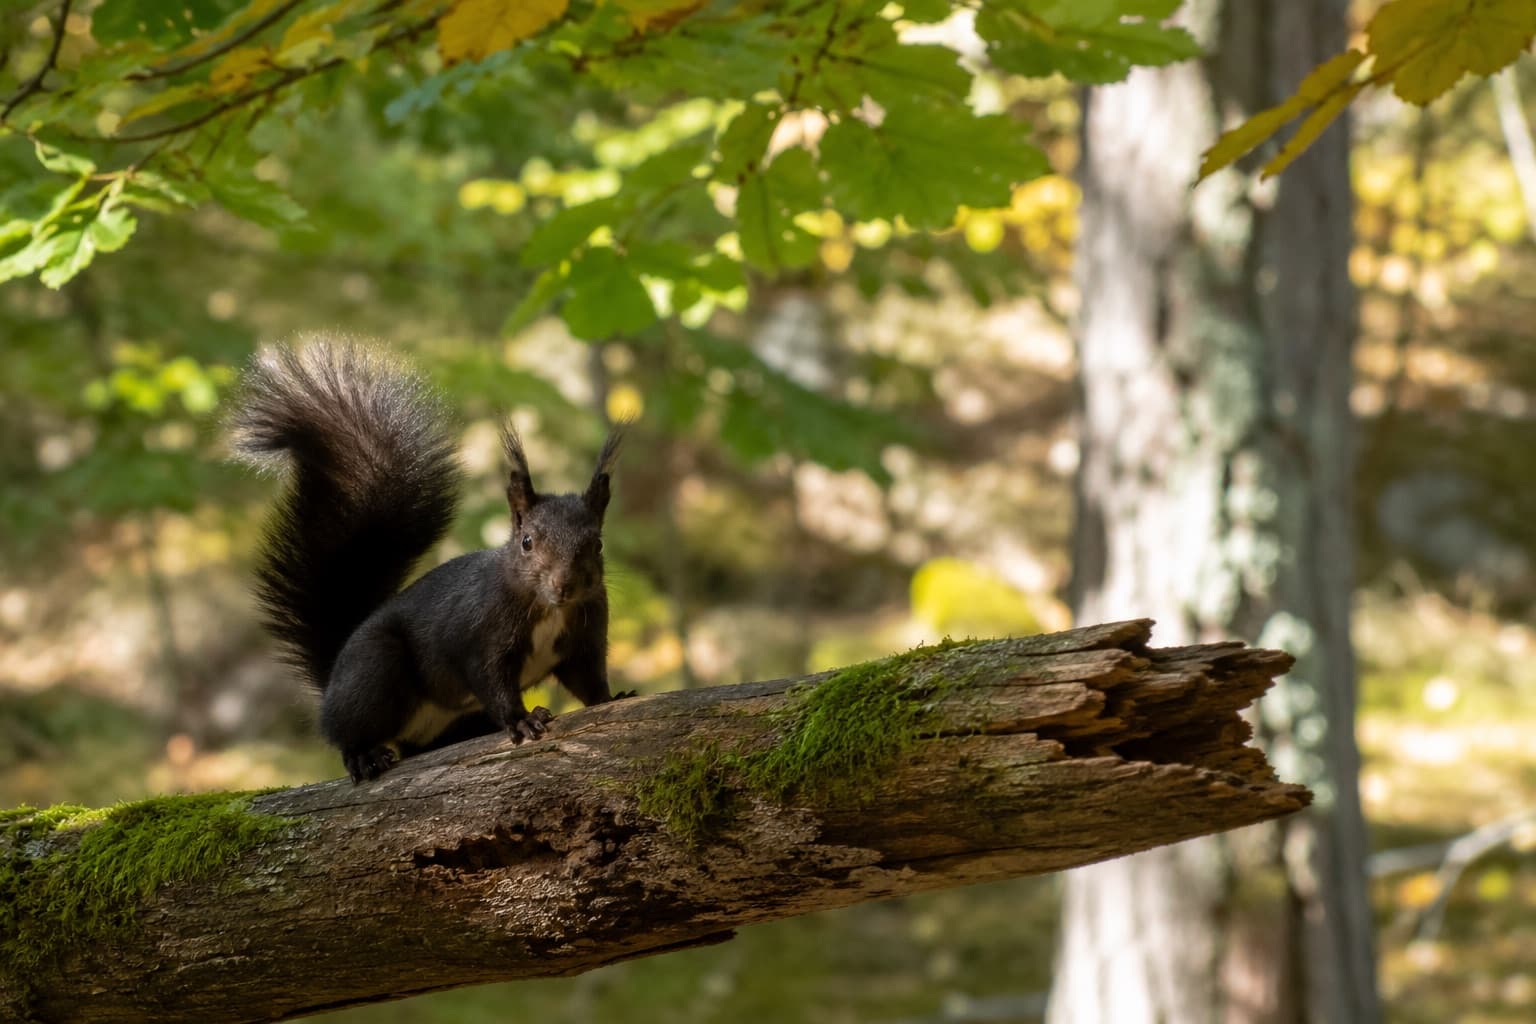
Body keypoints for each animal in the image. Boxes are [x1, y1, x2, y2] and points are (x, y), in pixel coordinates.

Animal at [231, 340, 626, 783]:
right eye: (527, 542)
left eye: (597, 544)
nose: (565, 585)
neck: (547, 608)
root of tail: (333, 679)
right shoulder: (480, 637)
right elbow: (493, 683)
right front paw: (522, 721)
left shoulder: (584, 639)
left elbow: (588, 680)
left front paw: (613, 697)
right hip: (375, 670)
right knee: (347, 732)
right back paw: (363, 757)